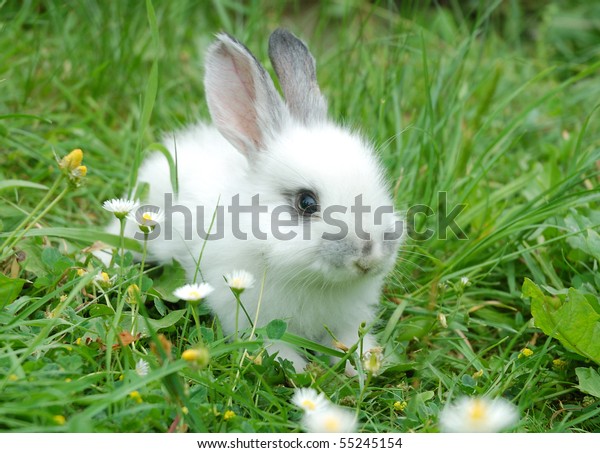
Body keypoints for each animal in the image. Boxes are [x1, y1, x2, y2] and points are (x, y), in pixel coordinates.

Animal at [109, 29, 404, 374]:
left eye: (380, 183)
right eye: (306, 203)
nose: (370, 256)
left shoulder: (349, 320)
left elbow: (352, 342)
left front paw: (367, 366)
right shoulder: (253, 317)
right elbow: (277, 348)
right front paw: (301, 373)